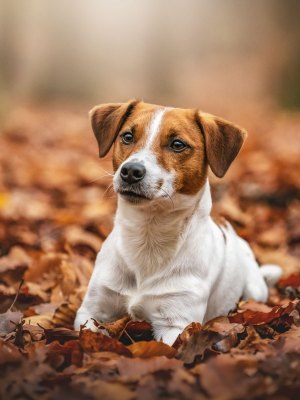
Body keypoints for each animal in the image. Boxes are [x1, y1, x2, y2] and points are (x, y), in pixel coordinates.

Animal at [74, 99, 282, 344]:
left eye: (177, 144)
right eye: (127, 136)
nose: (131, 171)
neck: (149, 234)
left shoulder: (176, 323)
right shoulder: (92, 311)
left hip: (255, 290)